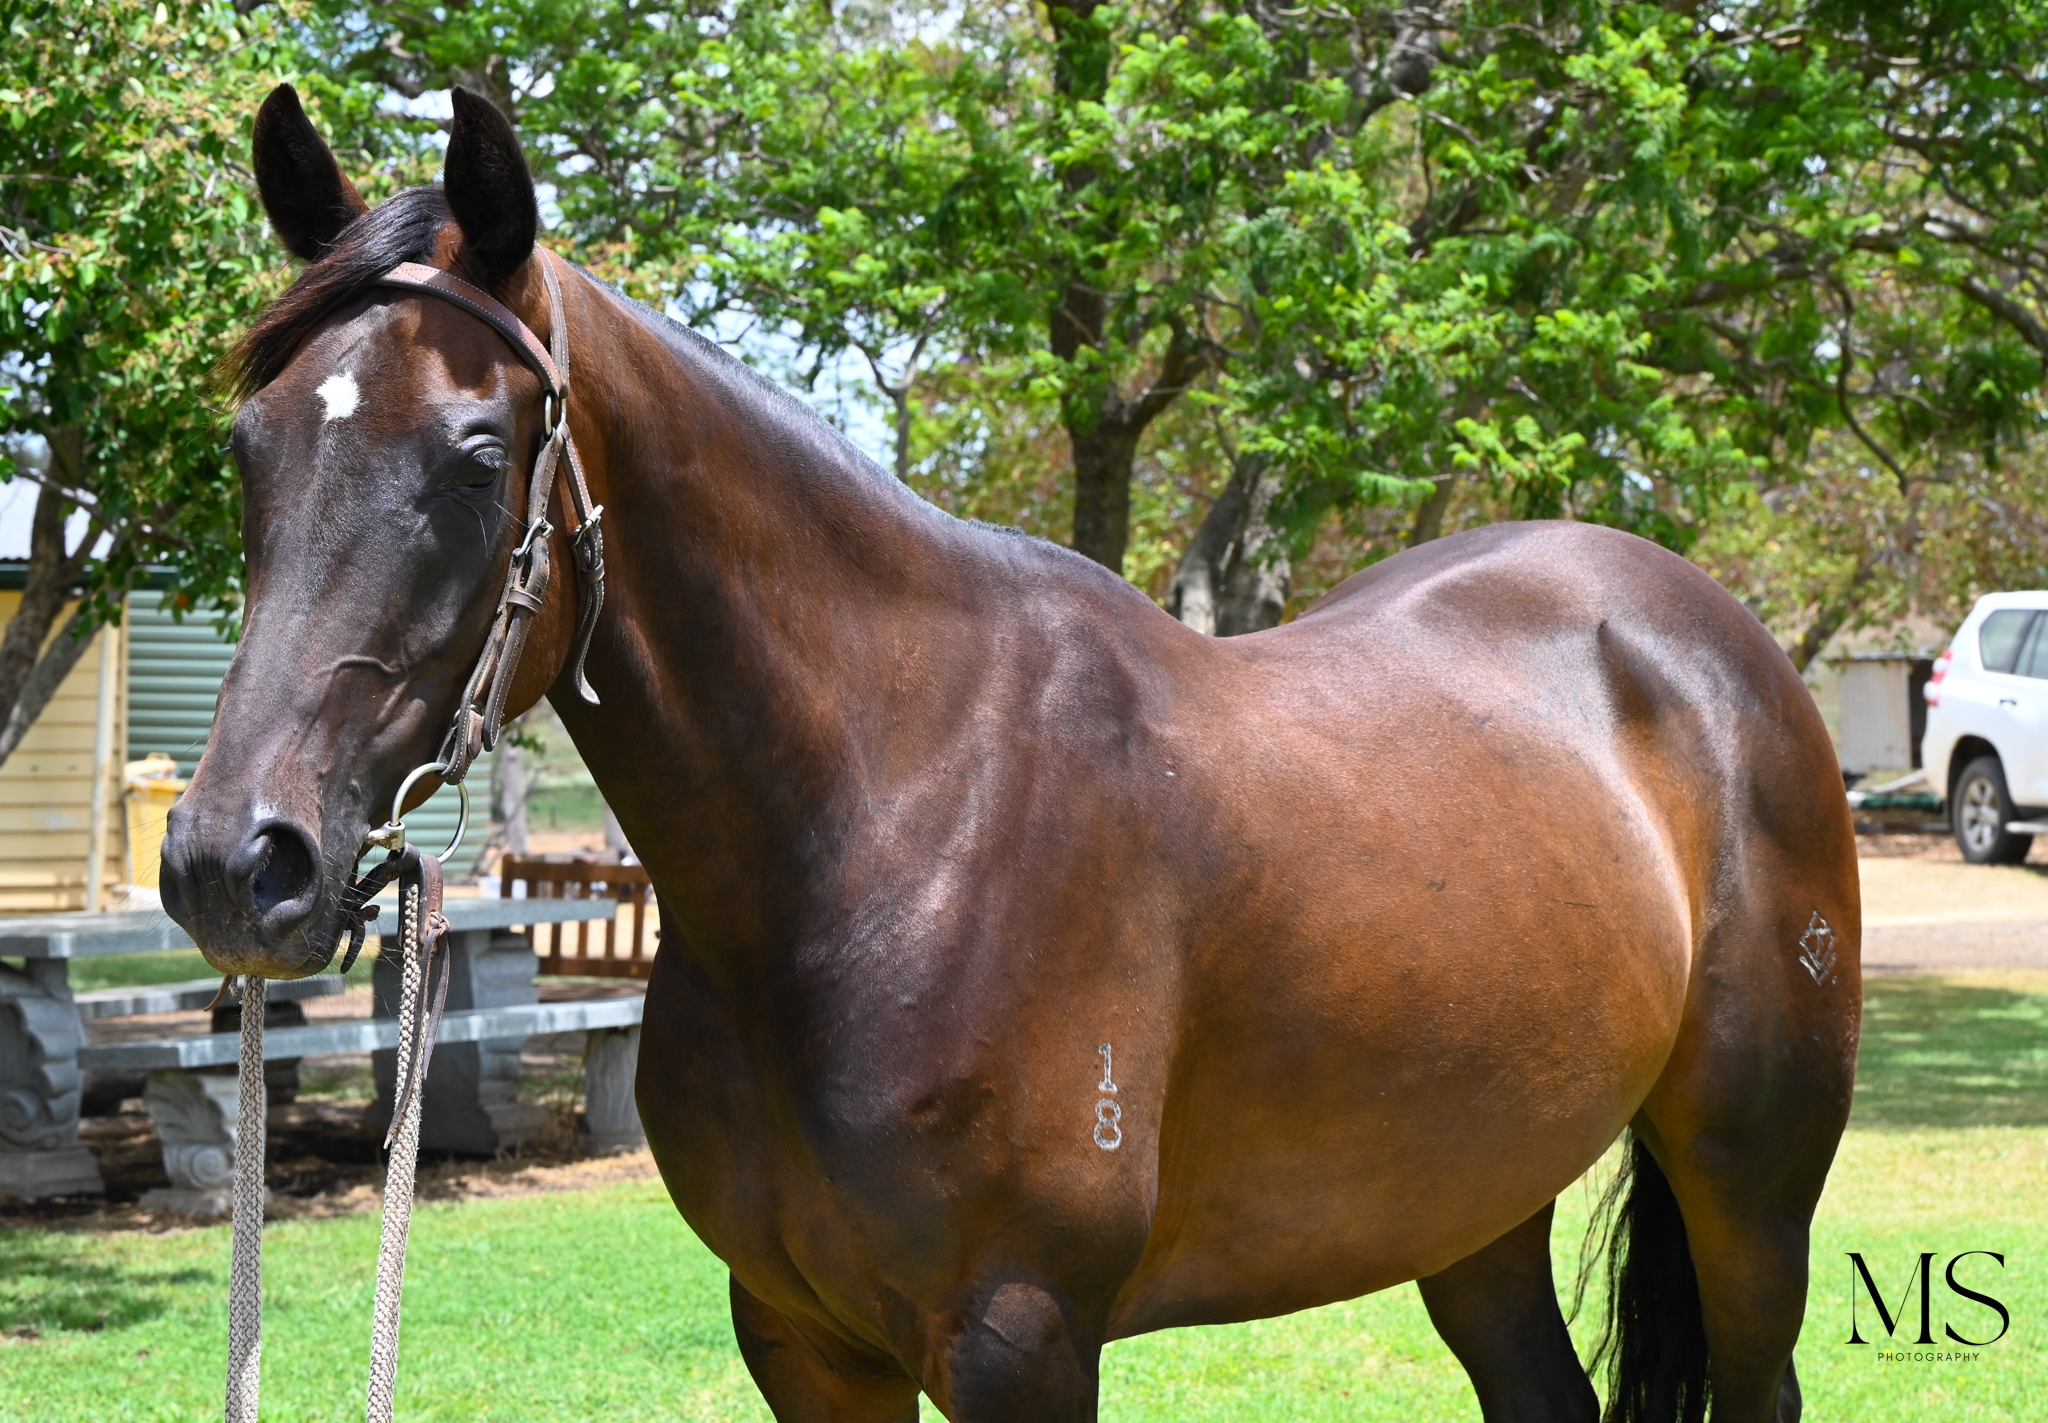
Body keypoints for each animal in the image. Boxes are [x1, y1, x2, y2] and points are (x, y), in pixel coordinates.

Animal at [161, 84, 1860, 1423]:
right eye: (247, 444)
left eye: (475, 455)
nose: (235, 861)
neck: (890, 820)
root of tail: (1700, 631)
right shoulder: (803, 1338)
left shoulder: (1018, 1334)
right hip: (1472, 1194)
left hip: (1750, 1178)